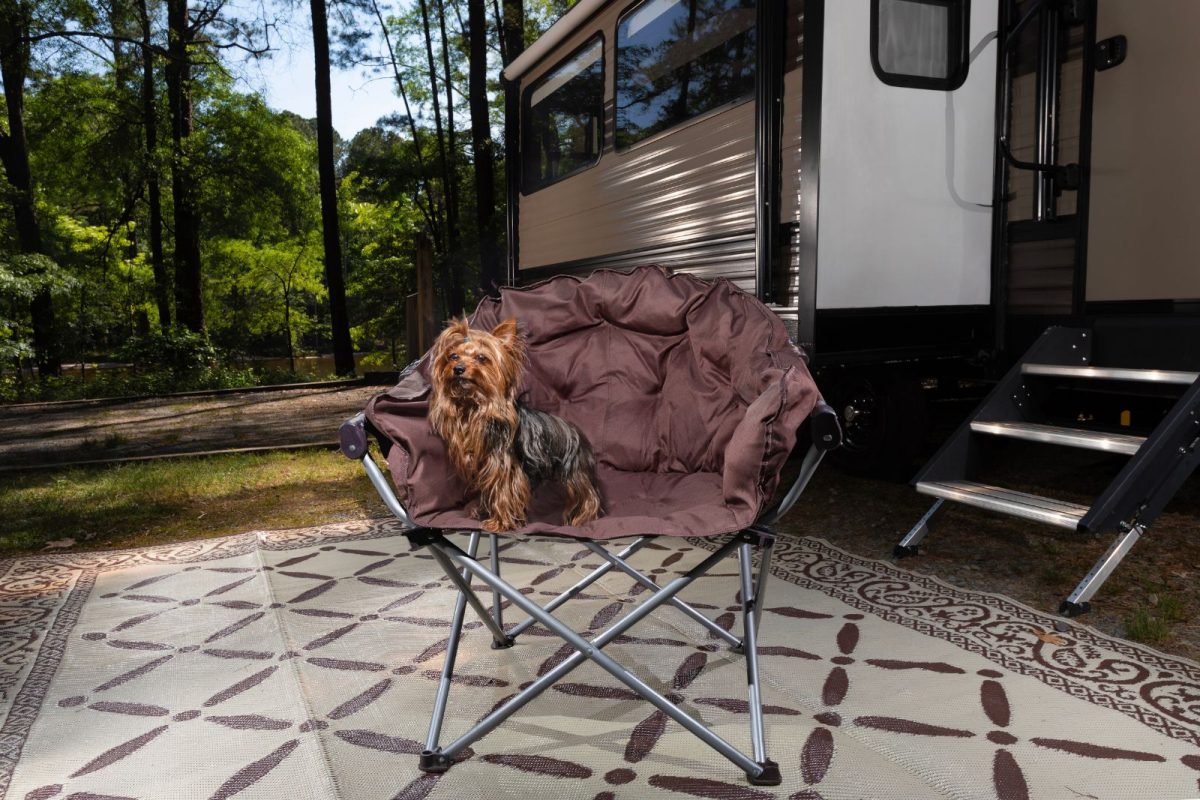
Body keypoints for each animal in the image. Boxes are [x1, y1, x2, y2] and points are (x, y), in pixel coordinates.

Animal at [427, 316, 604, 532]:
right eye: (453, 356)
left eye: (481, 358)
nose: (458, 369)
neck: (474, 405)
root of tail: (577, 432)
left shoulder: (505, 464)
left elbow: (504, 491)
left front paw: (500, 522)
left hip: (574, 470)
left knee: (587, 495)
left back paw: (582, 519)